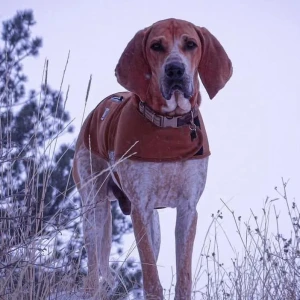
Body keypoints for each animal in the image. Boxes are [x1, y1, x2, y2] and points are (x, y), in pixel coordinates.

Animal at [72, 18, 232, 300]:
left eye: (190, 44)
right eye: (156, 46)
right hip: (95, 208)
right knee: (93, 267)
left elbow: (184, 275)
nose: (175, 70)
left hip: (151, 226)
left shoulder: (187, 209)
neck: (168, 126)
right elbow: (151, 277)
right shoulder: (141, 208)